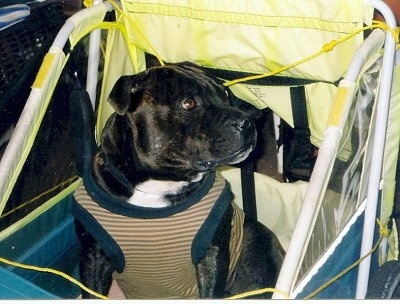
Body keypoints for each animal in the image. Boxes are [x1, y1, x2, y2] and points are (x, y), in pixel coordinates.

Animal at [72, 62, 284, 300]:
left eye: (225, 94)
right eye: (188, 104)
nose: (247, 122)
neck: (158, 184)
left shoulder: (212, 254)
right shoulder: (94, 257)